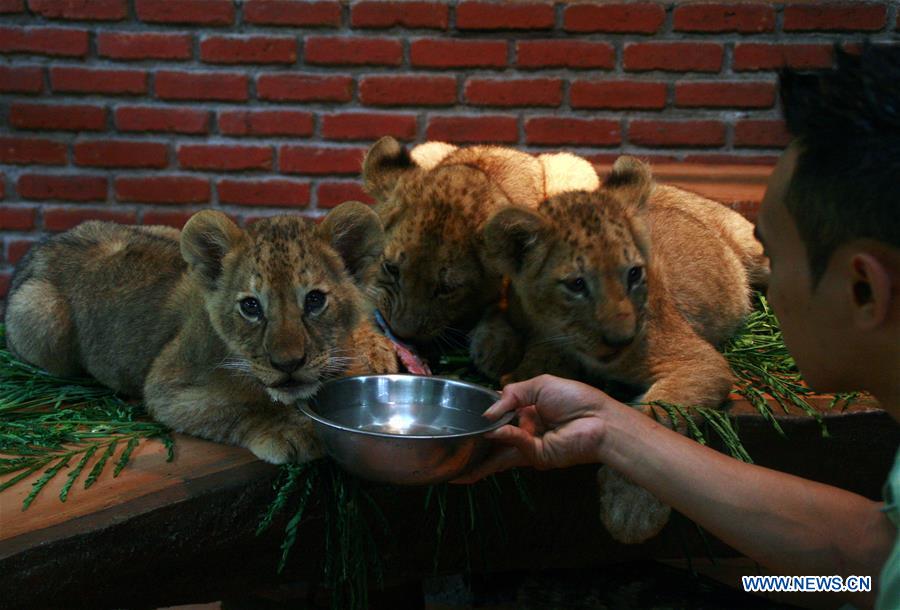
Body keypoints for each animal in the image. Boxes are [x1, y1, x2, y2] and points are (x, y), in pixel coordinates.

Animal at [4, 202, 398, 464]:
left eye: (315, 300)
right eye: (251, 306)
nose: (288, 364)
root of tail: (42, 246)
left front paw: (375, 350)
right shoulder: (164, 385)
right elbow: (234, 406)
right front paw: (288, 429)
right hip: (39, 317)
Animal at [474, 156, 769, 543]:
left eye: (633, 274)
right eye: (577, 285)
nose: (622, 340)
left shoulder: (698, 361)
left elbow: (656, 418)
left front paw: (631, 510)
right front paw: (498, 350)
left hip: (754, 251)